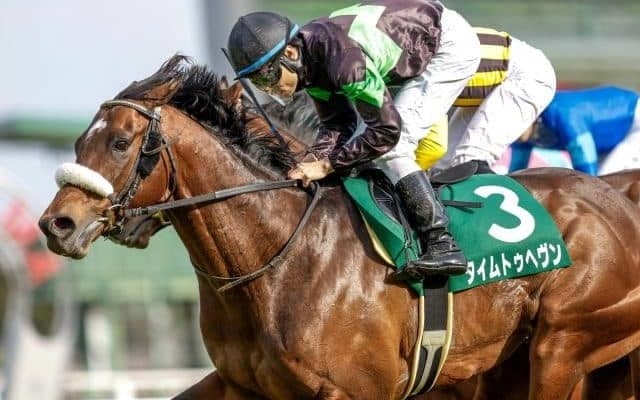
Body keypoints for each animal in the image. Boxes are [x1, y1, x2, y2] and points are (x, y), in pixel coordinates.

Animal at [39, 55, 640, 399]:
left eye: (121, 143)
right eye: (79, 142)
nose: (57, 224)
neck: (277, 256)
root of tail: (616, 201)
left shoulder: (360, 390)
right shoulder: (242, 386)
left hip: (562, 344)